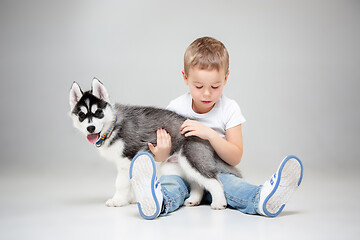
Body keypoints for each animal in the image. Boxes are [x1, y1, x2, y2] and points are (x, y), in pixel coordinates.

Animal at [69, 78, 242, 208]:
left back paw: (219, 203)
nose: (91, 128)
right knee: (198, 182)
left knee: (214, 181)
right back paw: (194, 199)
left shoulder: (127, 160)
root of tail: (205, 130)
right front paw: (134, 198)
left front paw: (118, 200)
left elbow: (121, 183)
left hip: (191, 158)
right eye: (81, 115)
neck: (112, 127)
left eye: (98, 112)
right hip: (176, 165)